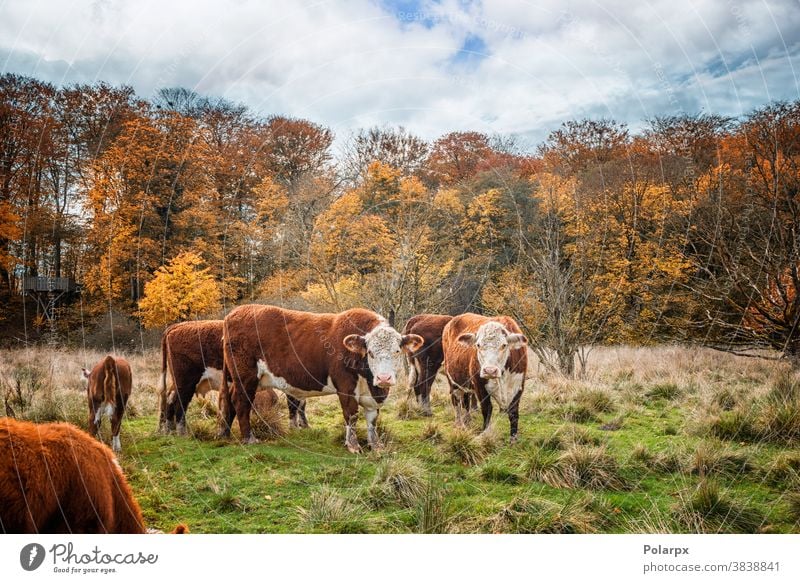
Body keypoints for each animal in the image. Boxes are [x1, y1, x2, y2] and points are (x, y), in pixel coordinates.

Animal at [216, 306, 422, 452]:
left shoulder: (372, 395)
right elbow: (351, 415)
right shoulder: (346, 387)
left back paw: (225, 432)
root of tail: (234, 313)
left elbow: (372, 420)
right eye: (370, 352)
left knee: (229, 400)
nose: (384, 378)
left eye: (397, 351)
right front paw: (353, 445)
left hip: (235, 379)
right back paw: (248, 438)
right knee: (241, 402)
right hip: (246, 377)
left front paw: (376, 445)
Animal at [440, 314, 528, 442]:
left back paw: (468, 421)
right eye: (478, 345)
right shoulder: (479, 386)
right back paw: (460, 425)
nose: (489, 370)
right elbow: (487, 409)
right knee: (456, 400)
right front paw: (485, 434)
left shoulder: (518, 385)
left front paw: (513, 439)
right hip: (452, 380)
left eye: (504, 345)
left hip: (466, 383)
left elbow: (513, 412)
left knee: (466, 401)